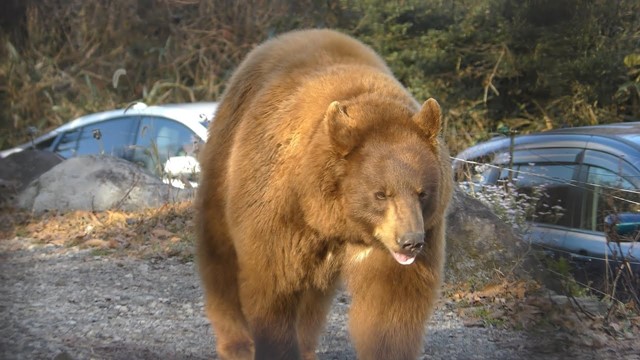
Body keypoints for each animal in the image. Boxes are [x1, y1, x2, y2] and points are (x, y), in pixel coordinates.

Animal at [198, 28, 452, 360]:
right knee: (220, 253)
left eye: (422, 192)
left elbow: (392, 303)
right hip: (225, 161)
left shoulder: (408, 237)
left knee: (313, 297)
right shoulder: (280, 210)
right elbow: (273, 288)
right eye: (381, 194)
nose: (410, 242)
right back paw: (236, 343)